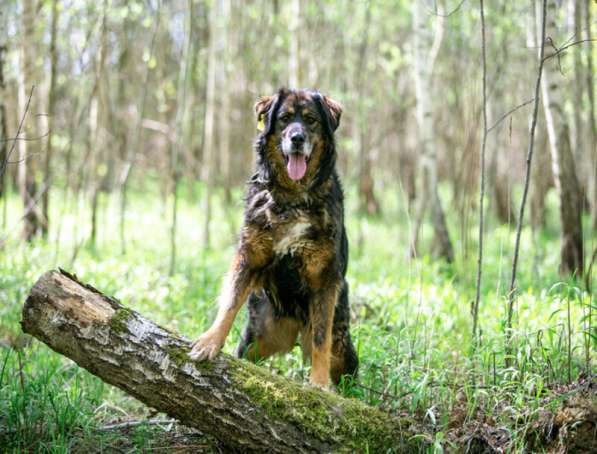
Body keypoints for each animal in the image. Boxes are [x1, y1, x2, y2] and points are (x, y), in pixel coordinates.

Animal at [191, 88, 356, 386]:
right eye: (284, 119)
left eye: (311, 120)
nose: (297, 138)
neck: (292, 199)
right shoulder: (249, 255)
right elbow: (229, 303)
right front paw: (210, 341)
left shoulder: (324, 277)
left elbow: (321, 338)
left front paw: (319, 384)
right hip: (258, 336)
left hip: (343, 349)